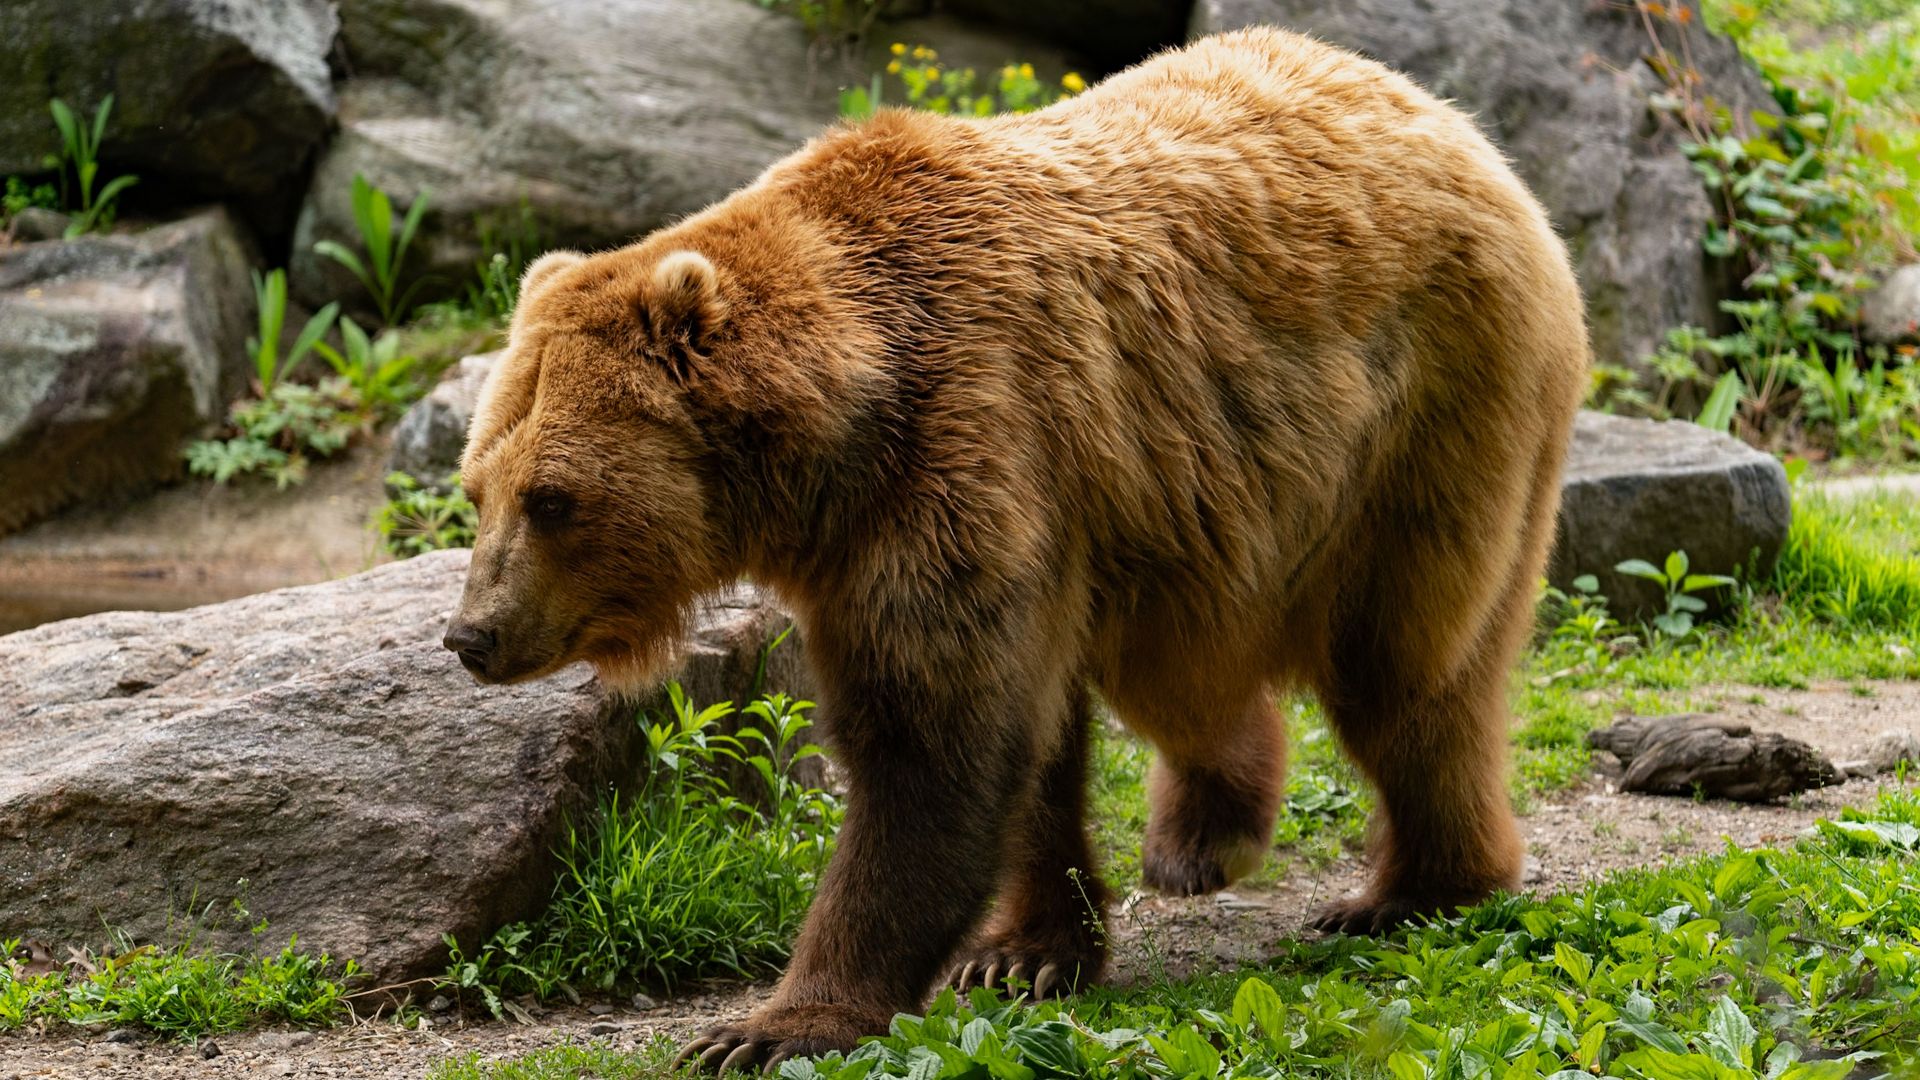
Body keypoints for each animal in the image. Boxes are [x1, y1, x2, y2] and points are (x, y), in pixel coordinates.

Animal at [444, 25, 1589, 1072]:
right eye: (477, 488)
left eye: (553, 499)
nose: (472, 635)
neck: (833, 445)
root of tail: (1452, 121)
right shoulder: (911, 537)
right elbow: (1022, 737)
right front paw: (1023, 953)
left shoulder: (966, 444)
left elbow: (933, 744)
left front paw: (769, 1024)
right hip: (1185, 509)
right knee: (1186, 674)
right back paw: (1201, 837)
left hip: (1423, 421)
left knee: (1404, 667)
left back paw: (1415, 887)